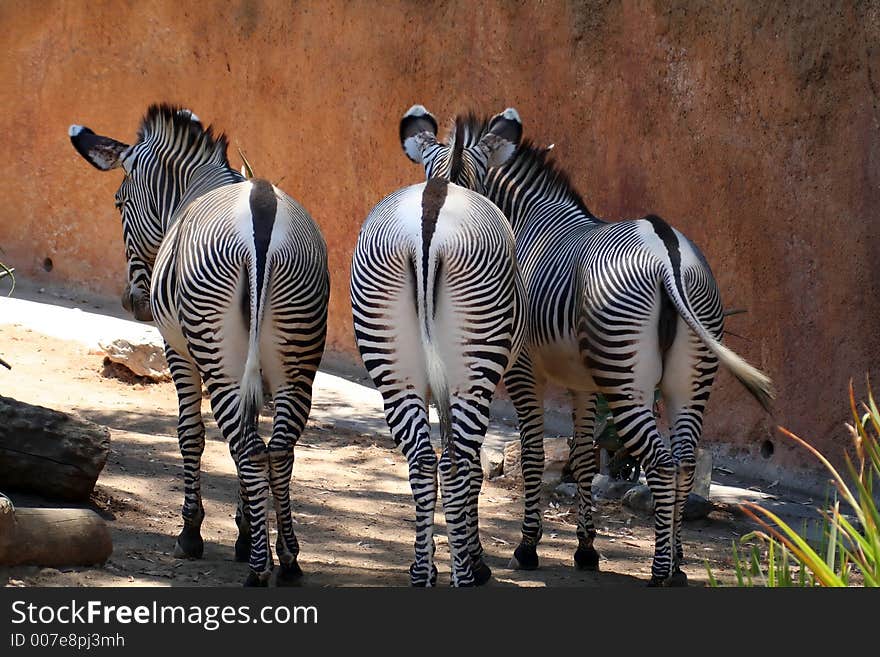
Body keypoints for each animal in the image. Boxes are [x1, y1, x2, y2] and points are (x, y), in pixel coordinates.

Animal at [69, 104, 328, 584]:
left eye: (118, 203)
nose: (132, 302)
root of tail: (261, 209)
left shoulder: (178, 351)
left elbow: (191, 433)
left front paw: (193, 533)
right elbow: (248, 440)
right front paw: (245, 531)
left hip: (217, 354)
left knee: (249, 448)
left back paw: (258, 570)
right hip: (296, 359)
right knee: (277, 449)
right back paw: (288, 560)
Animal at [348, 106, 528, 584]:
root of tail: (433, 205)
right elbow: (474, 469)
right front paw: (475, 560)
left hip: (393, 366)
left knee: (423, 460)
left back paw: (421, 572)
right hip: (475, 368)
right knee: (457, 463)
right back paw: (463, 575)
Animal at [438, 111, 768, 584]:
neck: (524, 220)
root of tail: (667, 251)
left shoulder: (524, 371)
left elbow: (535, 455)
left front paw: (528, 547)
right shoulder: (583, 383)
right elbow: (582, 458)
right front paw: (586, 549)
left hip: (626, 380)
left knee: (662, 463)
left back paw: (661, 571)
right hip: (688, 377)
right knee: (685, 461)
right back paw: (678, 563)